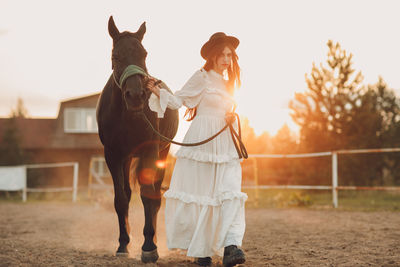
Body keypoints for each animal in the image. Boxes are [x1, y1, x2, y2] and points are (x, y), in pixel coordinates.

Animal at [95, 16, 178, 264]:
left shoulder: (150, 151)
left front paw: (149, 247)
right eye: (115, 56)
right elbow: (121, 199)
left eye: (144, 54)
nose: (136, 96)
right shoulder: (113, 155)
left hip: (163, 152)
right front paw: (123, 244)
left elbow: (148, 196)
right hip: (127, 158)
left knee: (156, 196)